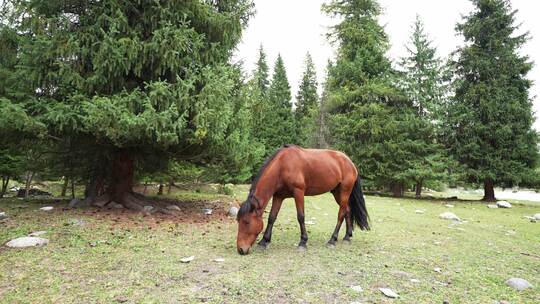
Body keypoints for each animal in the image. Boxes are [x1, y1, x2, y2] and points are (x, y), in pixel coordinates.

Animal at [237, 145, 372, 254]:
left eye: (246, 222)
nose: (241, 249)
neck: (282, 166)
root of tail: (350, 162)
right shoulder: (279, 196)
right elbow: (272, 218)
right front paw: (264, 241)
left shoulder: (299, 193)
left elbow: (301, 217)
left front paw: (303, 242)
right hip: (337, 193)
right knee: (347, 210)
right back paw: (347, 237)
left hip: (344, 191)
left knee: (341, 213)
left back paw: (332, 240)